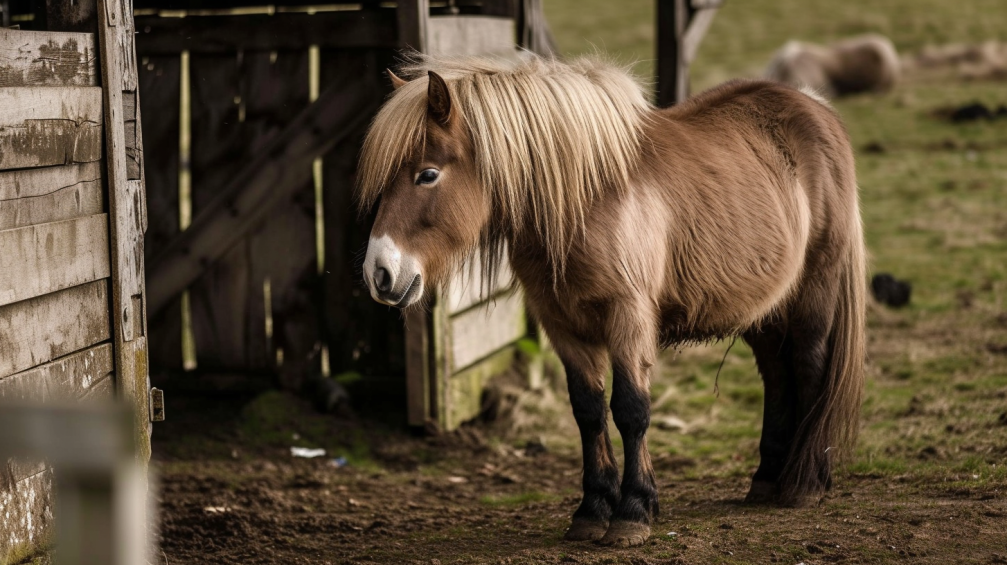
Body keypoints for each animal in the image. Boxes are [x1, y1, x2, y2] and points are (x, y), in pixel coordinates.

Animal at [354, 52, 866, 547]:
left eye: (427, 174)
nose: (379, 274)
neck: (588, 201)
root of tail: (818, 108)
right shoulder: (561, 324)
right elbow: (588, 411)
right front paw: (592, 510)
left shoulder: (628, 318)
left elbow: (631, 410)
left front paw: (633, 512)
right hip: (766, 313)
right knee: (778, 376)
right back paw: (767, 479)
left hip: (813, 297)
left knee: (809, 367)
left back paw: (805, 485)